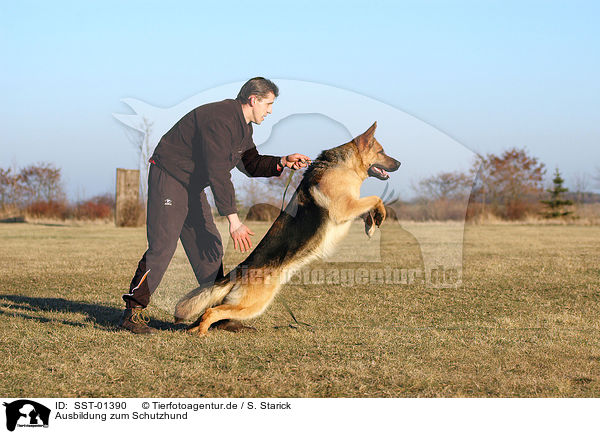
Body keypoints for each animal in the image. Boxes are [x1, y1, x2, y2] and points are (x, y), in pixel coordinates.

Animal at [172, 122, 398, 336]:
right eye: (381, 151)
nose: (399, 163)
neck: (344, 165)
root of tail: (241, 269)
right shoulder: (344, 207)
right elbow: (376, 199)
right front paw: (379, 217)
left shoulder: (350, 207)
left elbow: (369, 208)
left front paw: (371, 225)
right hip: (253, 304)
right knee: (212, 311)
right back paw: (202, 332)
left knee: (210, 311)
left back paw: (195, 329)